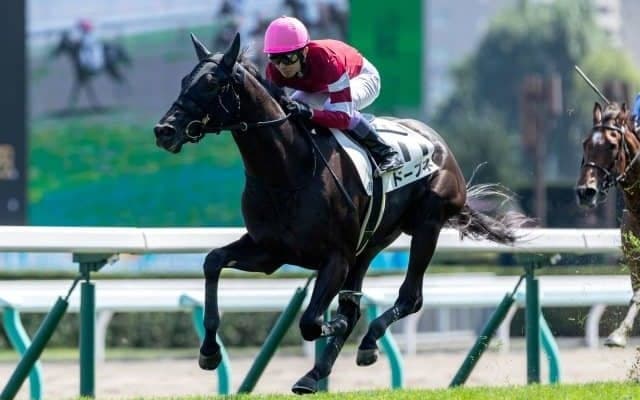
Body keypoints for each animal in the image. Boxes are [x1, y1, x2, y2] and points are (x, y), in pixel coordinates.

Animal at [154, 33, 525, 394]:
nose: (164, 131)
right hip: (370, 244)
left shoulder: (335, 257)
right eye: (185, 80)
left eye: (213, 83)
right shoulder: (270, 251)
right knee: (358, 301)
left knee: (410, 297)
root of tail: (439, 144)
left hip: (426, 224)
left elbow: (311, 322)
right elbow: (213, 261)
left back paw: (365, 343)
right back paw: (315, 373)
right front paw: (209, 351)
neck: (287, 172)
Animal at [575, 101, 640, 347]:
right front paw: (619, 334)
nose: (585, 192)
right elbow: (637, 294)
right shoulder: (632, 253)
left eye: (612, 145)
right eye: (585, 143)